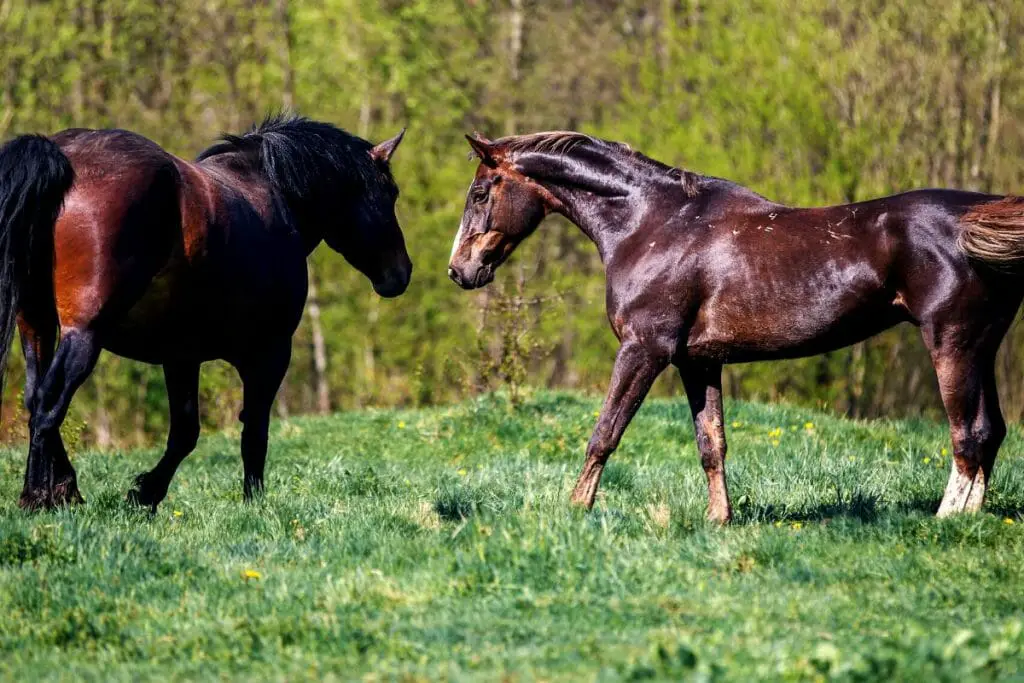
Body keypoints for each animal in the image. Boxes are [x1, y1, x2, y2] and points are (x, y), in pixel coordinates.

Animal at [0, 114, 411, 509]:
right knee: (50, 403)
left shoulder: (181, 356)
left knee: (35, 398)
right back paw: (37, 496)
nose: (401, 273)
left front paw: (145, 495)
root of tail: (64, 157)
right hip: (84, 332)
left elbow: (185, 432)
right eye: (390, 193)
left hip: (35, 323)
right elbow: (253, 430)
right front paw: (251, 502)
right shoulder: (270, 353)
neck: (273, 192)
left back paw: (63, 489)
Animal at [452, 132, 1024, 524]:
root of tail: (974, 215)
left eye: (480, 193)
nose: (460, 271)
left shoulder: (645, 349)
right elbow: (712, 443)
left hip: (952, 342)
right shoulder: (698, 361)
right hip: (982, 346)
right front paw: (719, 519)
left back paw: (947, 521)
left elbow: (605, 433)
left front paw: (575, 509)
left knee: (968, 434)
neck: (650, 223)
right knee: (991, 430)